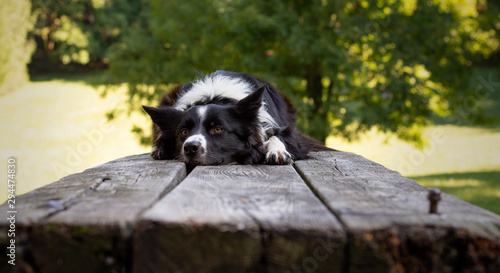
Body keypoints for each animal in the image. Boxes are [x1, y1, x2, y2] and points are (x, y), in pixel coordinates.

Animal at [143, 69, 334, 166]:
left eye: (217, 129)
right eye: (183, 132)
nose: (190, 148)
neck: (215, 96)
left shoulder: (284, 131)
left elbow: (277, 136)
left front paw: (277, 150)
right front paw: (160, 147)